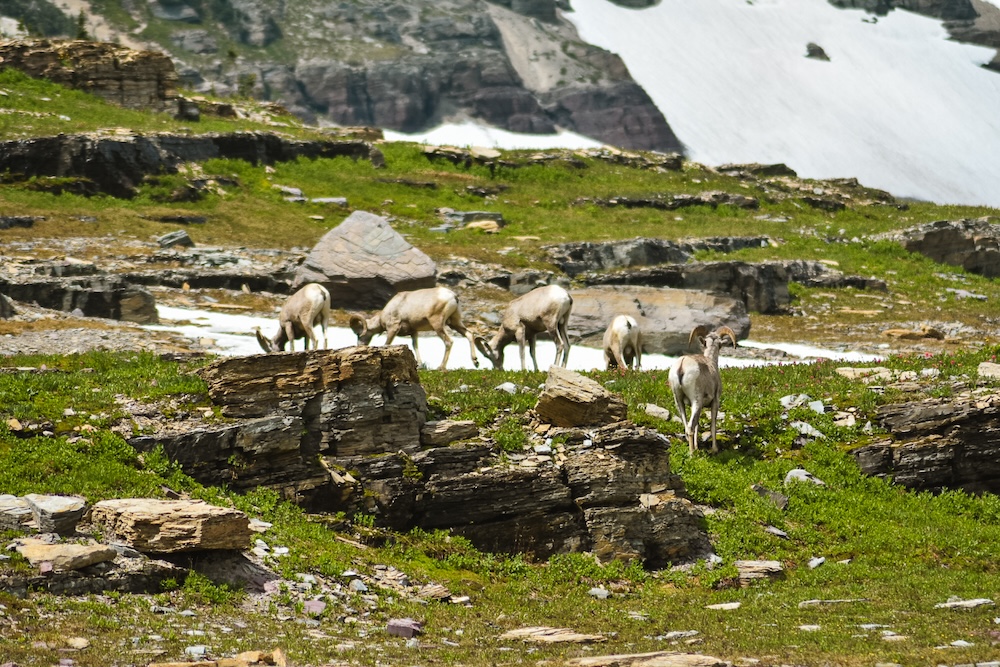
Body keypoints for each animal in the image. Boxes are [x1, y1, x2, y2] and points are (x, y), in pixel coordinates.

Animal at [350, 286, 478, 370]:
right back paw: (475, 362)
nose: (359, 345)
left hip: (437, 324)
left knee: (448, 342)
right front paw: (419, 365)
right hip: (454, 322)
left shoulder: (393, 329)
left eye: (358, 334)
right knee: (469, 334)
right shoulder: (414, 332)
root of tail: (453, 296)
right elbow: (415, 346)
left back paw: (441, 367)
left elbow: (387, 344)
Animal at [668, 326, 740, 456]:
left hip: (679, 401)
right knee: (690, 427)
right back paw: (692, 453)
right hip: (696, 401)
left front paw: (697, 446)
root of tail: (682, 365)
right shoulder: (715, 402)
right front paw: (714, 449)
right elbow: (713, 425)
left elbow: (697, 425)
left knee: (687, 426)